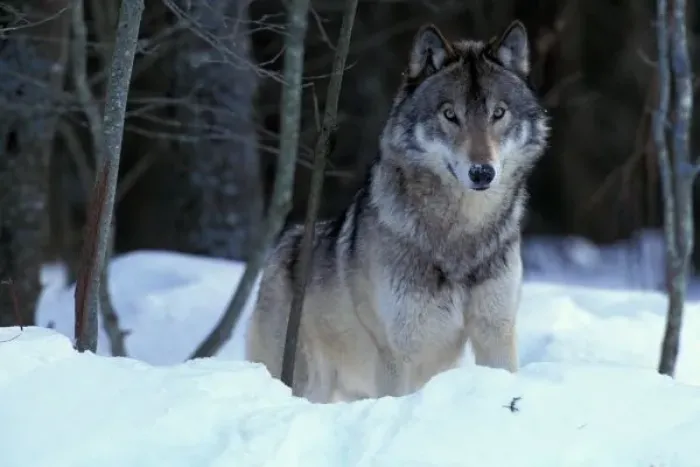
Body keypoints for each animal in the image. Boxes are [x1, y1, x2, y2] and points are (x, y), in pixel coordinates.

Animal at [245, 20, 550, 403]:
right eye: (450, 115)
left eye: (498, 113)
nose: (482, 172)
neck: (462, 234)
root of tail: (282, 246)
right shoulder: (400, 351)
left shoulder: (496, 332)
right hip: (306, 381)